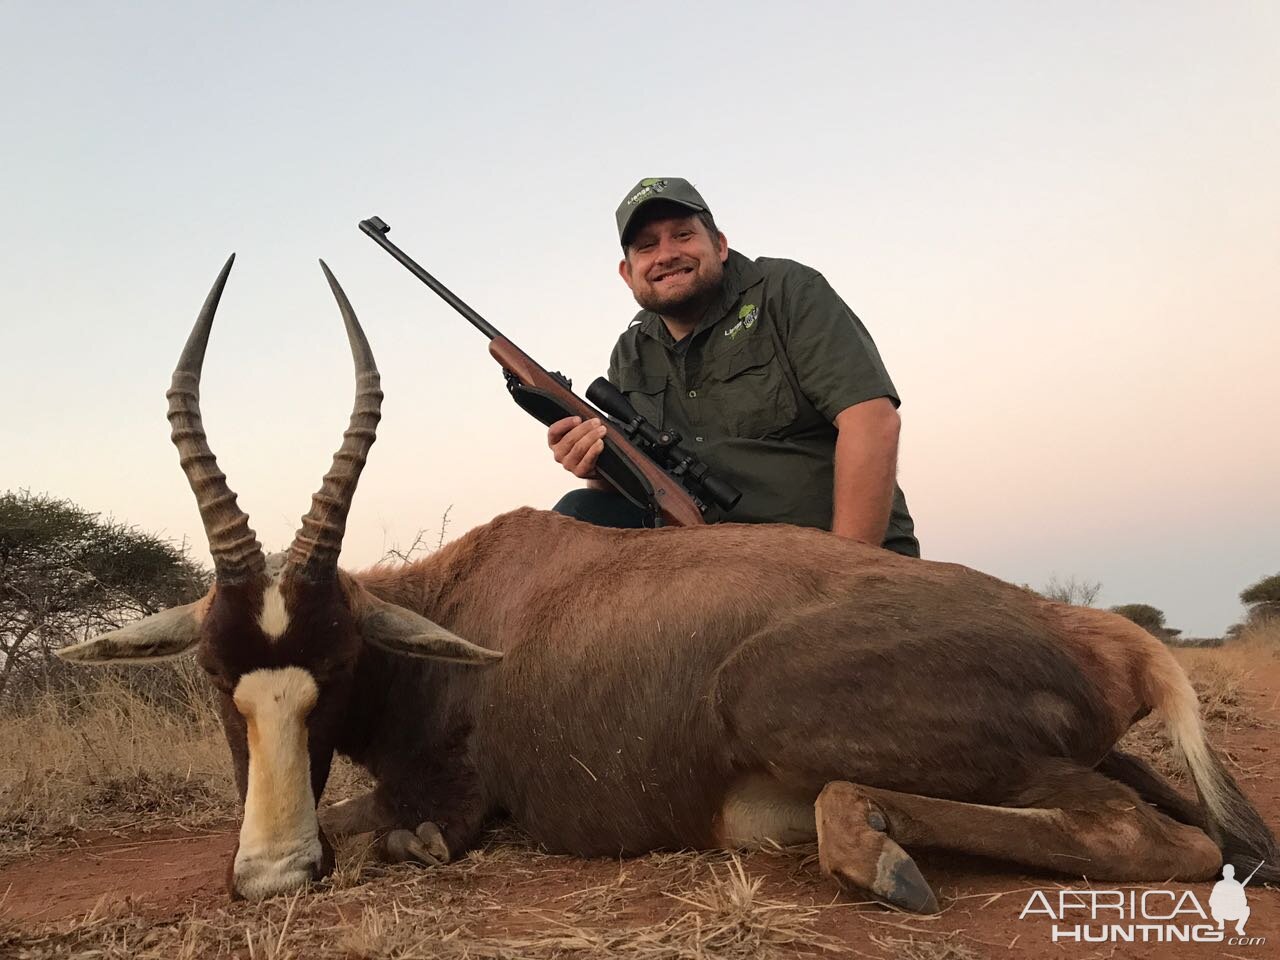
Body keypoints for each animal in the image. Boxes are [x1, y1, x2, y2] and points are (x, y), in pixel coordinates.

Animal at [62, 257, 1280, 911]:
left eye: (340, 660)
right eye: (213, 671)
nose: (273, 874)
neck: (461, 602)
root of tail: (1100, 638)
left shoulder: (456, 805)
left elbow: (393, 828)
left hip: (797, 707)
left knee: (1156, 838)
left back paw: (880, 852)